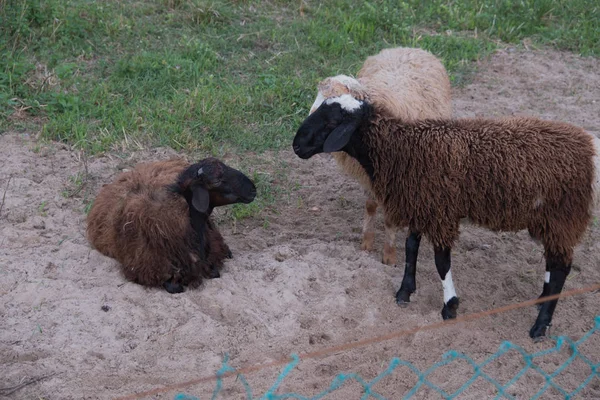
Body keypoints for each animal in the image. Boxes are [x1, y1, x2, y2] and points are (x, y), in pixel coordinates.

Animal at [294, 95, 600, 340]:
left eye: (332, 121)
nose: (296, 146)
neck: (401, 150)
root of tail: (589, 147)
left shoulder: (441, 211)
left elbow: (441, 262)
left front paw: (449, 305)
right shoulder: (422, 204)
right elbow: (411, 248)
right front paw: (405, 292)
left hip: (563, 215)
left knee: (561, 268)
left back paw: (540, 326)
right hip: (550, 219)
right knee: (554, 263)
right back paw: (542, 300)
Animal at [310, 46, 450, 266]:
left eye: (331, 105)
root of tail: (410, 47)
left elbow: (390, 219)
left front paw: (389, 255)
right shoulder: (366, 175)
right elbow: (370, 206)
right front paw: (366, 244)